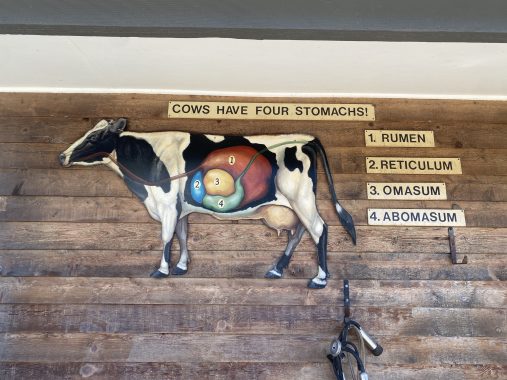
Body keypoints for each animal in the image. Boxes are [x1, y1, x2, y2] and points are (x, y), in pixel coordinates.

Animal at [59, 119, 356, 288]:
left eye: (94, 137)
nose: (62, 156)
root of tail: (306, 138)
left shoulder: (167, 204)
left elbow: (166, 237)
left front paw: (162, 270)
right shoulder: (179, 208)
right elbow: (182, 234)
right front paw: (180, 267)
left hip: (300, 197)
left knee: (318, 229)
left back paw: (319, 279)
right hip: (293, 204)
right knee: (301, 231)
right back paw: (276, 269)